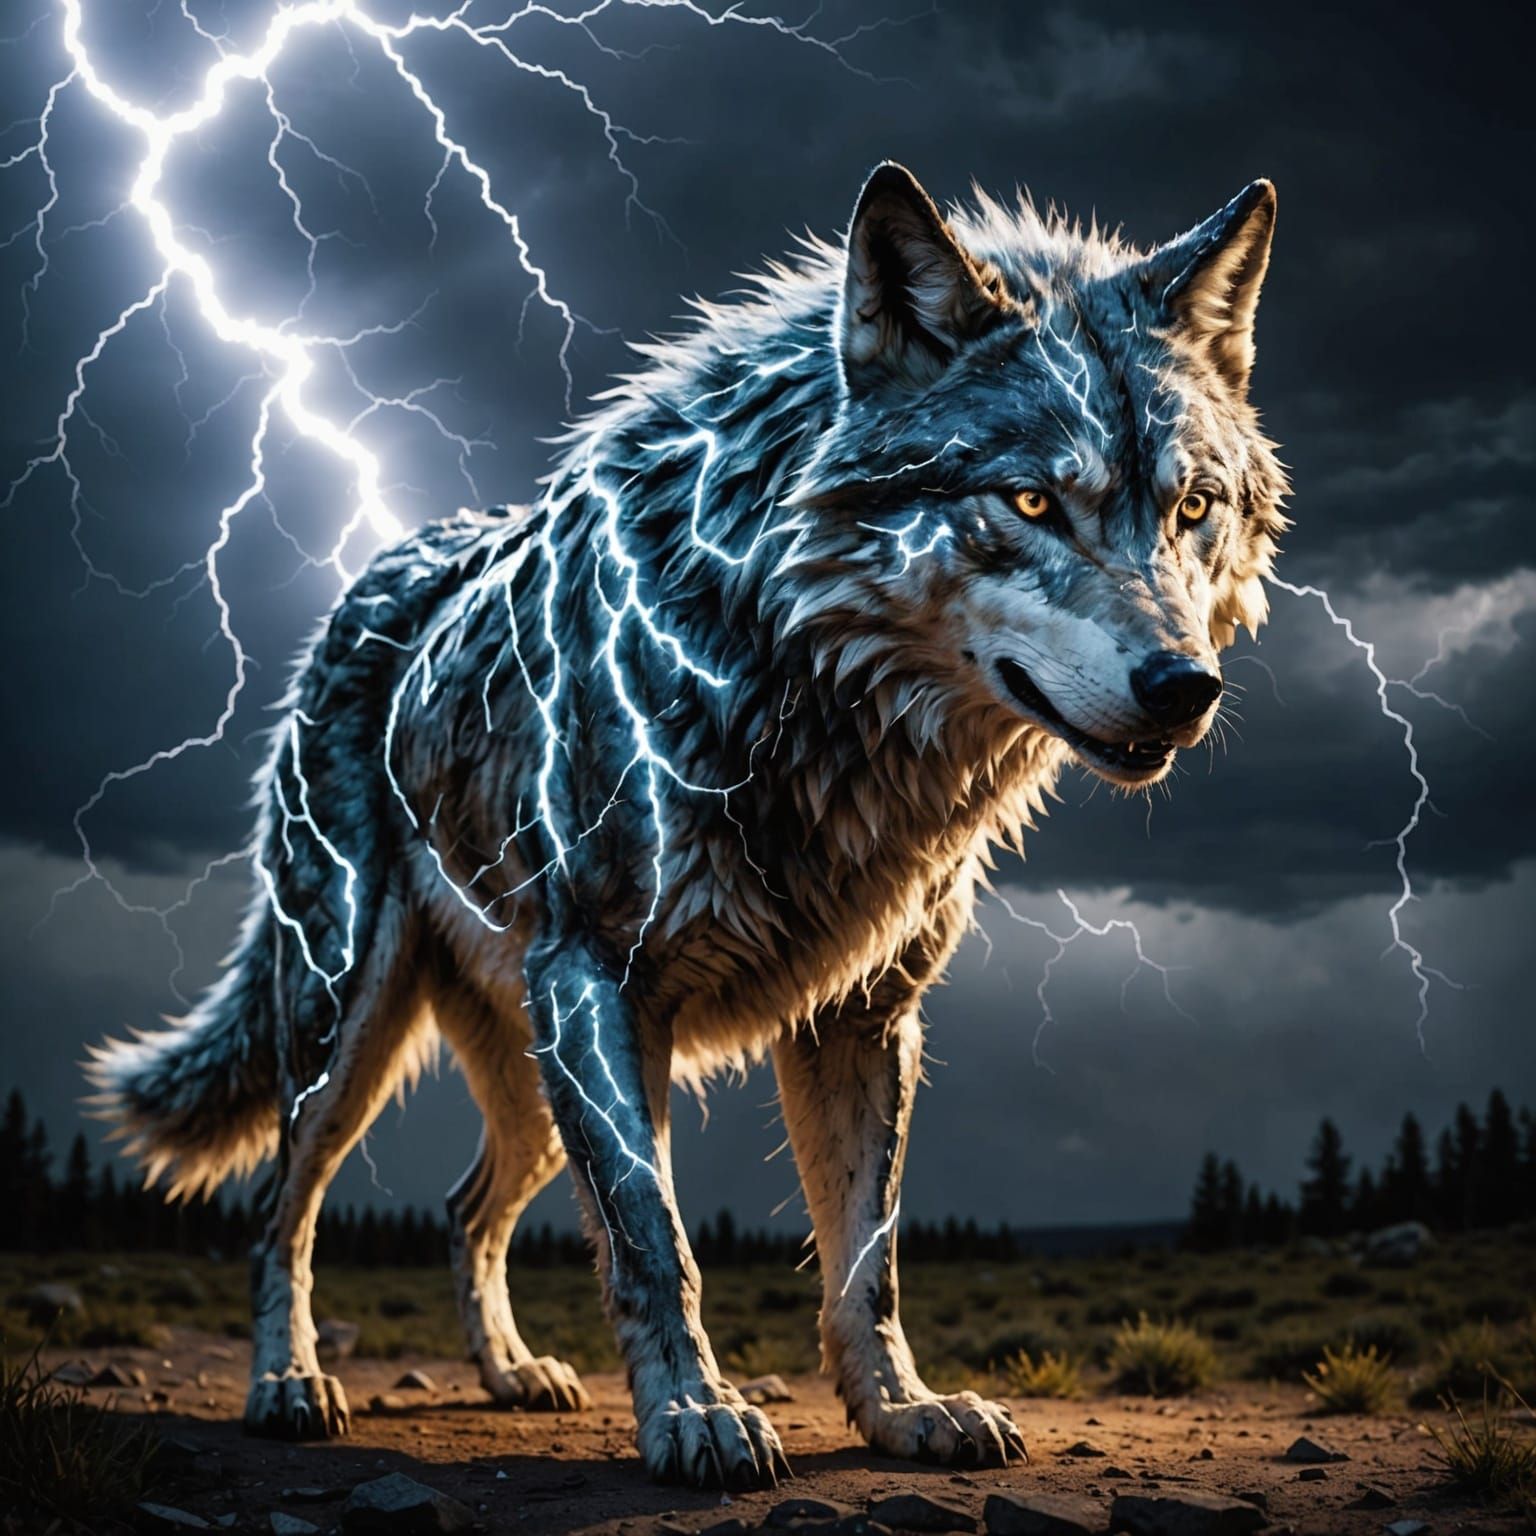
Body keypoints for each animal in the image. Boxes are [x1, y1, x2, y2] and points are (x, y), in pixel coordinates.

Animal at [89, 162, 1287, 1489]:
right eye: (1029, 500)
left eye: (1193, 508)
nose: (1184, 688)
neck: (814, 707)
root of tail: (369, 581)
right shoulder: (601, 984)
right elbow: (655, 1241)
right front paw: (698, 1419)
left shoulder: (864, 1012)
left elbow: (866, 1260)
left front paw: (904, 1413)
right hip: (347, 1026)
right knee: (280, 1216)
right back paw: (289, 1386)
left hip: (525, 1080)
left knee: (463, 1209)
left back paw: (514, 1375)